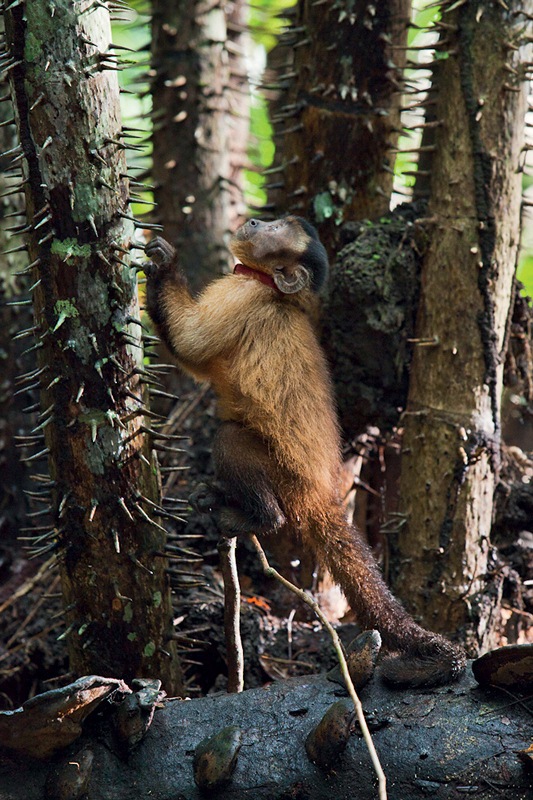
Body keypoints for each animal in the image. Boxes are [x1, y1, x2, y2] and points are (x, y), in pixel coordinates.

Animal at [143, 214, 464, 688]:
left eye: (275, 230)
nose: (255, 219)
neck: (270, 288)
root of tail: (322, 492)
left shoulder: (241, 297)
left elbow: (189, 344)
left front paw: (165, 265)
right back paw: (219, 499)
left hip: (285, 477)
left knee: (231, 440)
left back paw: (257, 516)